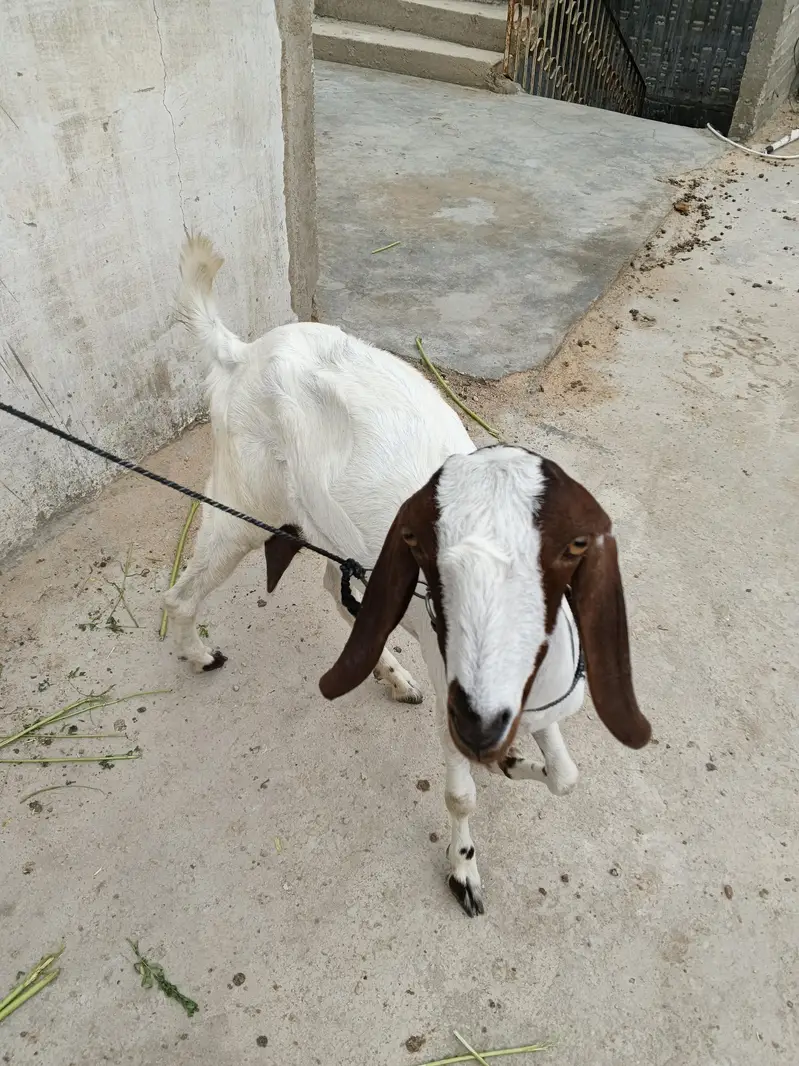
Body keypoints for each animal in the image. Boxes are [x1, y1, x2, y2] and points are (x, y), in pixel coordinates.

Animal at [165, 234, 652, 917]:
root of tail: (243, 351)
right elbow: (460, 794)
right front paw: (464, 869)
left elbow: (565, 777)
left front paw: (513, 765)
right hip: (242, 501)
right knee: (183, 591)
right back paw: (199, 654)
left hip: (326, 522)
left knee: (337, 589)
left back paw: (392, 675)